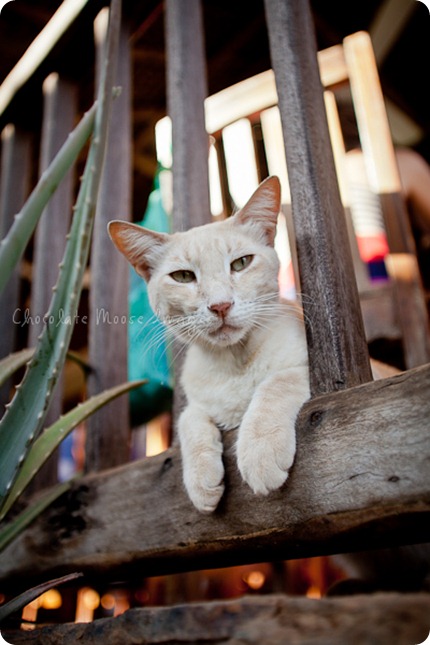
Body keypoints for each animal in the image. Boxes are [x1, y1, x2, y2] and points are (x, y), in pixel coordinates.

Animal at [108, 177, 310, 512]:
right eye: (183, 276)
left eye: (241, 263)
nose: (220, 306)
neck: (234, 364)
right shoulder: (196, 403)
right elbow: (188, 418)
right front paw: (201, 482)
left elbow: (278, 382)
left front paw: (260, 451)